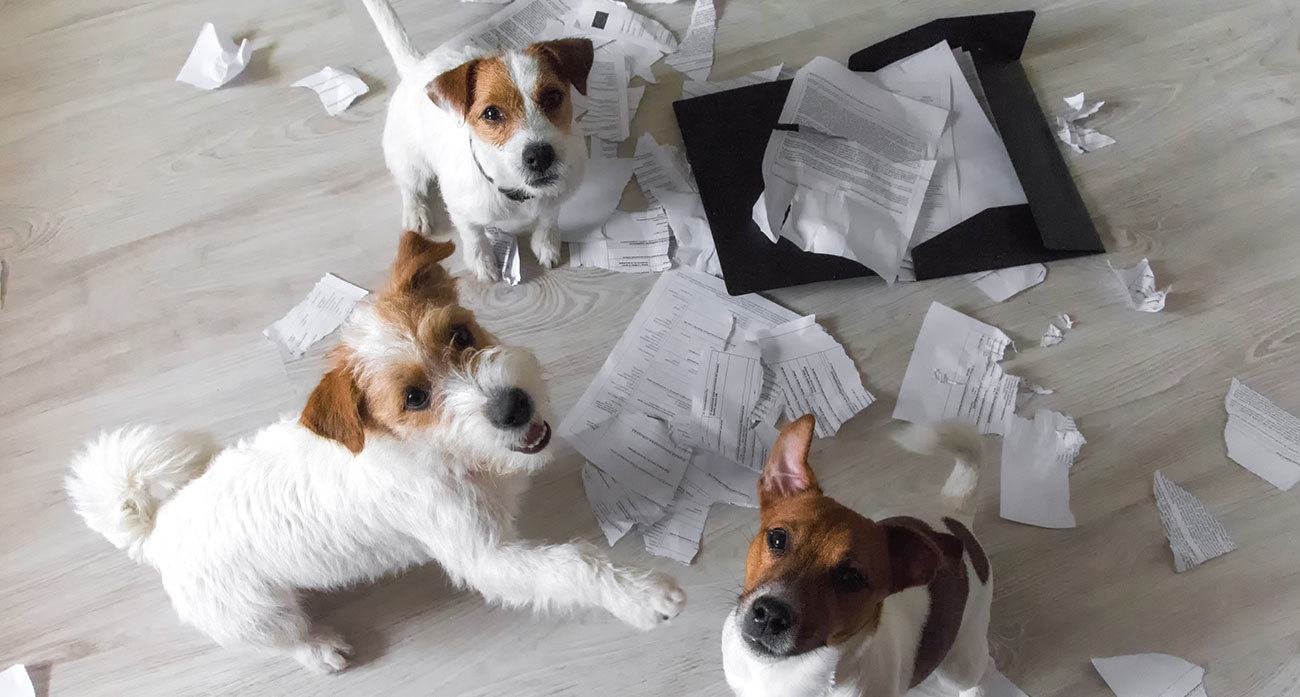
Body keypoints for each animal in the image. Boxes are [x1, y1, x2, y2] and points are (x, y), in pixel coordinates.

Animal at [65, 232, 686, 676]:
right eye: (413, 398)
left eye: (461, 335)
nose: (514, 405)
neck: (436, 450)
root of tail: (158, 531)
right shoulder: (487, 560)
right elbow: (573, 563)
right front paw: (642, 595)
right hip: (257, 615)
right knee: (284, 640)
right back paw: (321, 651)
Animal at [361, 0, 595, 283]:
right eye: (491, 114)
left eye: (553, 97)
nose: (540, 156)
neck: (517, 194)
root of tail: (417, 65)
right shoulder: (462, 211)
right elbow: (474, 235)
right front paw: (482, 262)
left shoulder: (557, 195)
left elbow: (549, 216)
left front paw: (546, 243)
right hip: (409, 160)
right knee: (409, 185)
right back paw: (415, 210)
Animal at [722, 416, 993, 697]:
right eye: (777, 538)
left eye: (850, 579)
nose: (771, 614)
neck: (782, 675)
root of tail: (954, 511)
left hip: (960, 660)